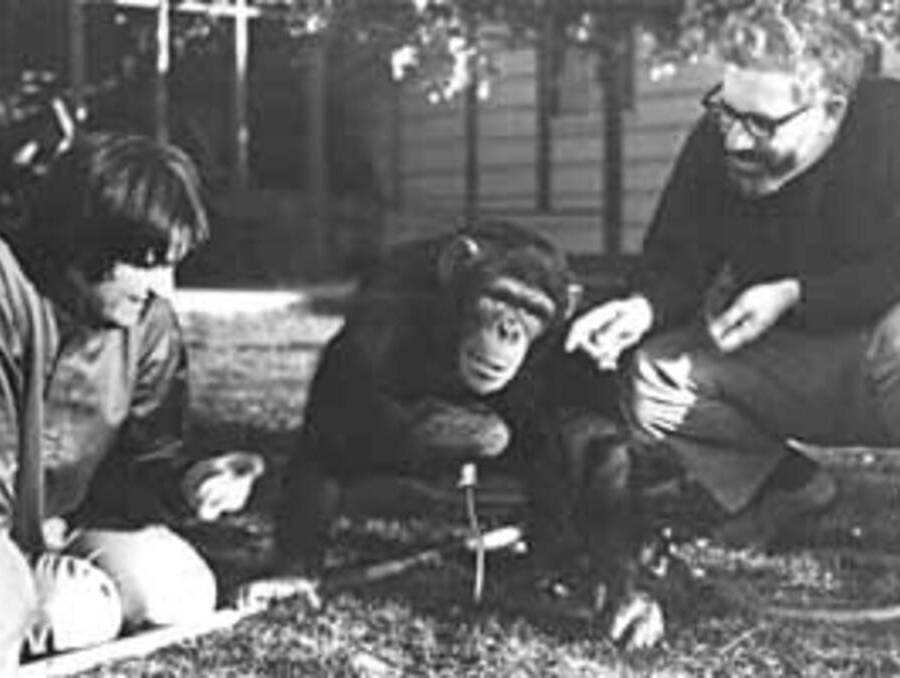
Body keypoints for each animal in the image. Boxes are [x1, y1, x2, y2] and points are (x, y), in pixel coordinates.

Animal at [272, 222, 660, 648]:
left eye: (534, 312)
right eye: (499, 297)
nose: (509, 330)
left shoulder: (575, 337)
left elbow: (590, 437)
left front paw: (627, 600)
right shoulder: (390, 295)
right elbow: (349, 398)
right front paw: (484, 429)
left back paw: (542, 570)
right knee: (325, 437)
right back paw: (291, 575)